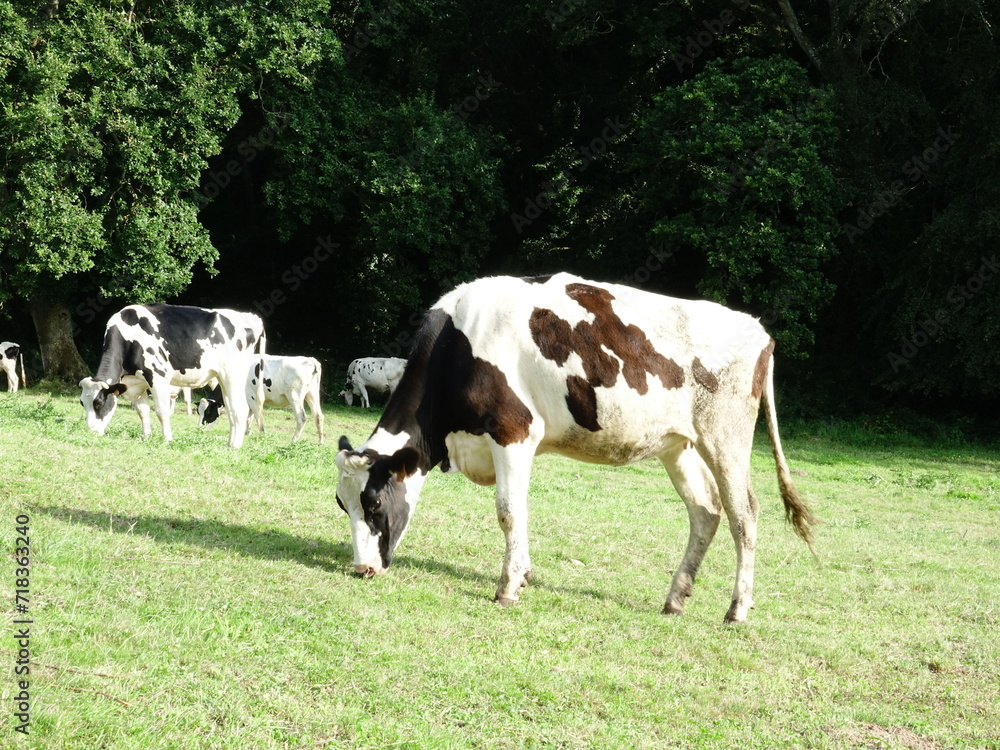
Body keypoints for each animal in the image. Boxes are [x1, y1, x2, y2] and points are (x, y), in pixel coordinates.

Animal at [79, 304, 266, 450]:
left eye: (99, 403)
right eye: (82, 403)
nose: (90, 431)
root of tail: (251, 317)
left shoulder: (157, 376)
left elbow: (161, 411)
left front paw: (167, 439)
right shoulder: (138, 383)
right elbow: (143, 411)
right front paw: (145, 436)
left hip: (233, 374)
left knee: (240, 409)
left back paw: (235, 446)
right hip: (222, 378)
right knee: (231, 409)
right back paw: (230, 444)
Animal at [200, 354, 328, 444]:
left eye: (208, 412)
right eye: (198, 411)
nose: (200, 428)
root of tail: (311, 360)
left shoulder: (252, 397)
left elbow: (257, 416)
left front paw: (261, 433)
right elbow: (249, 417)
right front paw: (248, 432)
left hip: (295, 396)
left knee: (302, 418)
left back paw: (294, 440)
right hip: (312, 394)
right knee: (319, 416)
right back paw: (320, 442)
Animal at [336, 274, 812, 624]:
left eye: (374, 503)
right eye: (343, 504)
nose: (361, 568)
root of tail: (758, 330)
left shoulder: (513, 431)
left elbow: (508, 510)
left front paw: (507, 588)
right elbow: (521, 510)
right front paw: (523, 575)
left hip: (726, 437)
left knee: (743, 514)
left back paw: (737, 609)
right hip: (677, 445)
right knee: (706, 510)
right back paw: (675, 598)